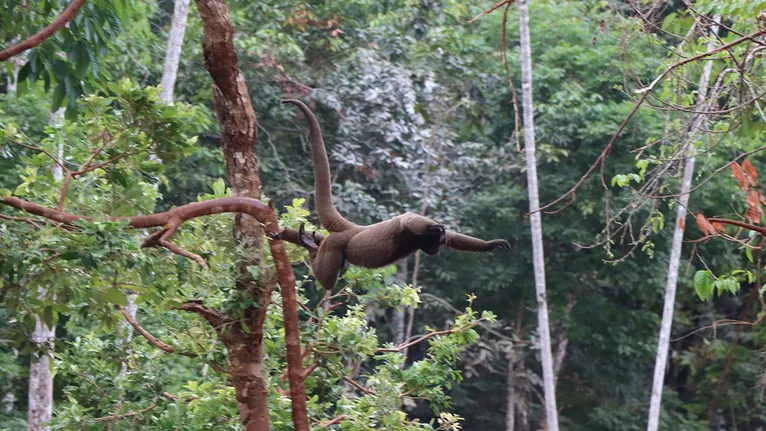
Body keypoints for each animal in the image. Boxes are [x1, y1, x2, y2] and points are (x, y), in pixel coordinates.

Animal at [272, 100, 512, 290]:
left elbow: (453, 237)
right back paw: (309, 246)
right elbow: (408, 218)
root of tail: (353, 229)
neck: (416, 240)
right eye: (435, 243)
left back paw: (305, 240)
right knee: (328, 280)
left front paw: (490, 244)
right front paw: (435, 226)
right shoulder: (408, 229)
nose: (436, 249)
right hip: (335, 246)